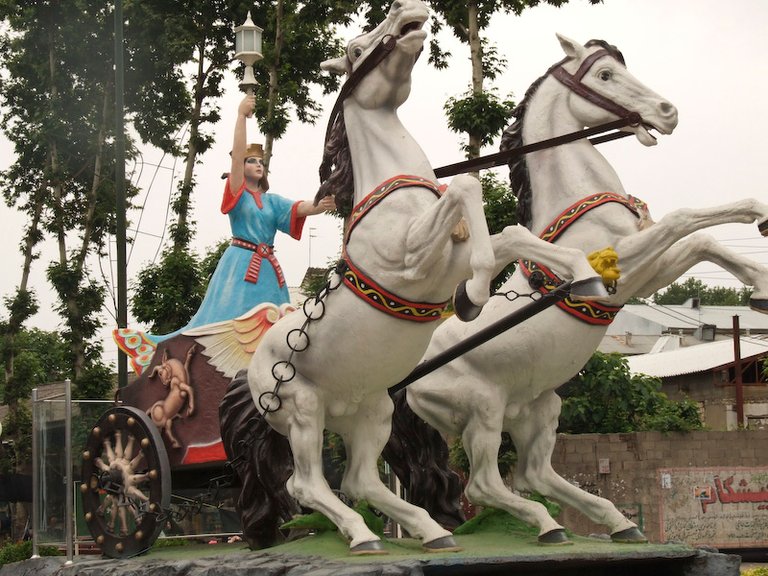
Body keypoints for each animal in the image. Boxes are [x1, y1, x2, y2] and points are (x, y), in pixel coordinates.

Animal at [244, 3, 608, 552]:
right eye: (355, 48)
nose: (406, 10)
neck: (399, 198)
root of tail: (251, 368)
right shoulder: (411, 261)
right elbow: (466, 189)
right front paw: (474, 296)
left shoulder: (449, 258)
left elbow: (509, 234)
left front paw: (584, 278)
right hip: (302, 409)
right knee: (306, 485)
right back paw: (363, 536)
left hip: (368, 410)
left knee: (360, 481)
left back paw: (432, 531)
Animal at [404, 35, 764, 544]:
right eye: (605, 75)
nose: (668, 111)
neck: (580, 196)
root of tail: (406, 381)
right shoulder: (622, 265)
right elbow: (682, 220)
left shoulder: (647, 274)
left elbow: (702, 240)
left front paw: (760, 278)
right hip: (482, 411)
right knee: (485, 484)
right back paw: (548, 525)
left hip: (538, 407)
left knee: (535, 474)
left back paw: (618, 523)